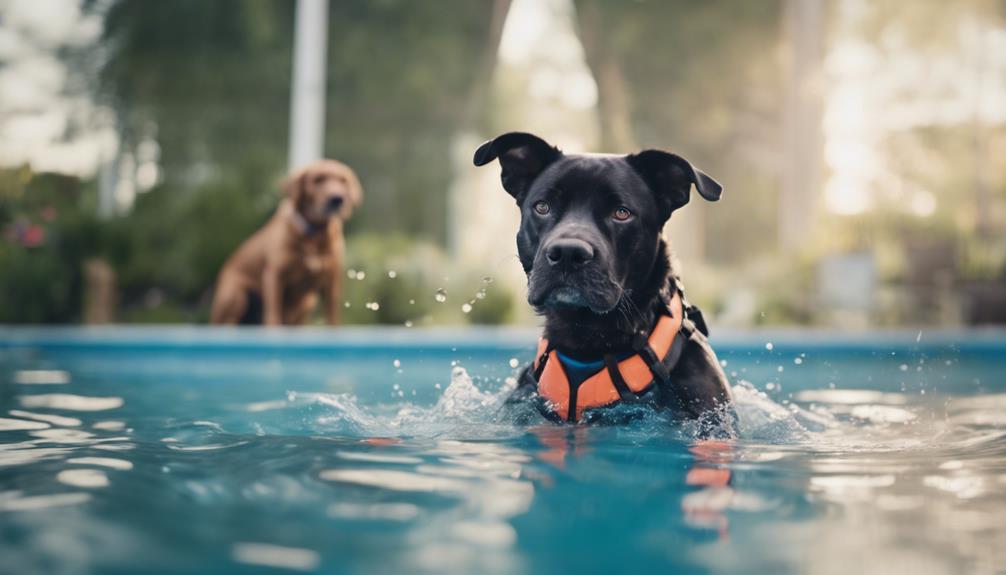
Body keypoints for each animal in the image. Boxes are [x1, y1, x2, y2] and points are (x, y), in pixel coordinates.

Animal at [208, 159, 362, 325]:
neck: (313, 237)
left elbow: (332, 319)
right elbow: (273, 315)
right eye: (318, 180)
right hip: (237, 295)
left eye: (343, 181)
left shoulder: (331, 281)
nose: (337, 199)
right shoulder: (274, 276)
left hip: (307, 302)